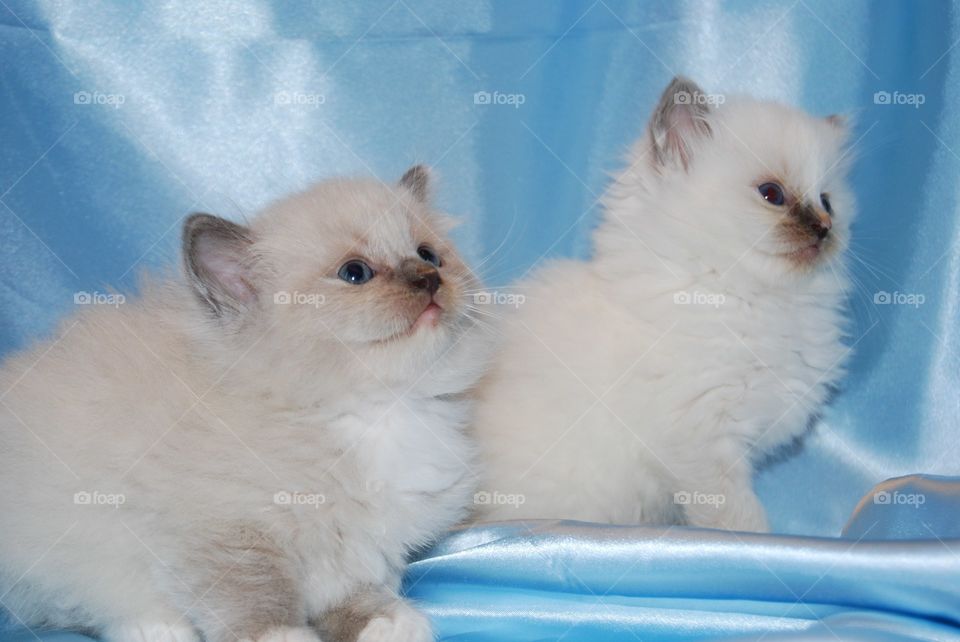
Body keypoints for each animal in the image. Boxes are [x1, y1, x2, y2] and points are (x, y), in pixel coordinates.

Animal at [0, 166, 492, 640]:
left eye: (428, 255)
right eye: (355, 273)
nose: (429, 279)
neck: (381, 408)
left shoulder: (358, 550)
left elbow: (352, 593)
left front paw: (384, 623)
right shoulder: (228, 531)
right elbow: (256, 596)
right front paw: (283, 637)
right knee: (84, 601)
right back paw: (156, 629)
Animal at [472, 76, 856, 528]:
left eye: (827, 202)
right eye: (772, 194)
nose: (824, 228)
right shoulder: (701, 440)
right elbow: (736, 516)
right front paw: (763, 542)